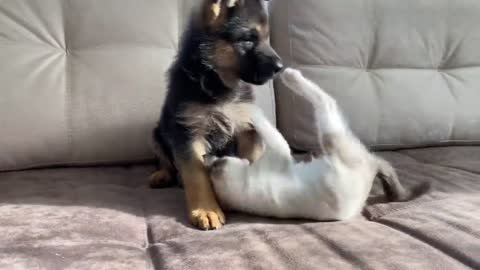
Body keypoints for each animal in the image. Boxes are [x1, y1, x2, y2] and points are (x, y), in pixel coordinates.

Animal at [152, 0, 284, 230]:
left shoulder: (246, 129)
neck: (218, 83)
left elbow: (252, 159)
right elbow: (196, 174)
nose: (281, 67)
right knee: (166, 161)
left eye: (267, 38)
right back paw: (163, 175)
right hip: (157, 132)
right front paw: (206, 210)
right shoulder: (188, 133)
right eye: (248, 39)